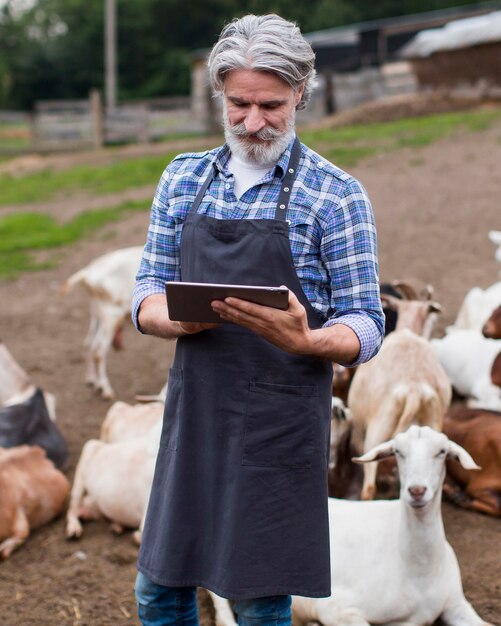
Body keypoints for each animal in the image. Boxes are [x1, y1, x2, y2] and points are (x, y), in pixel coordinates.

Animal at [61, 245, 143, 398]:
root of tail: (87, 273)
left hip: (98, 315)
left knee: (89, 344)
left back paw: (92, 380)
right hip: (111, 316)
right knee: (98, 351)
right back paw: (105, 389)